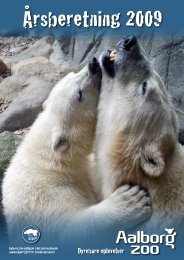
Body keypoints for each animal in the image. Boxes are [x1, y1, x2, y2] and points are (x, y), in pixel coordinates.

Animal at [2, 57, 150, 244]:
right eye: (79, 94)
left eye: (71, 74)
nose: (93, 64)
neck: (52, 161)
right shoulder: (46, 196)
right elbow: (71, 230)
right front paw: (130, 200)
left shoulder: (85, 171)